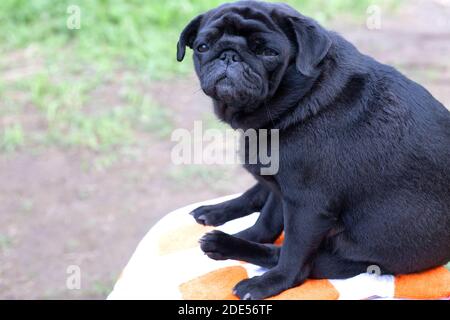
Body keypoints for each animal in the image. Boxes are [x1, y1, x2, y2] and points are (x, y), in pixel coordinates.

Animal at [176, 0, 450, 300]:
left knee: (292, 258)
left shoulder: (306, 205)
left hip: (352, 256)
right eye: (203, 47)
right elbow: (266, 222)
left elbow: (293, 257)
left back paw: (225, 245)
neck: (300, 98)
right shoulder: (283, 189)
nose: (229, 56)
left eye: (268, 53)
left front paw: (269, 283)